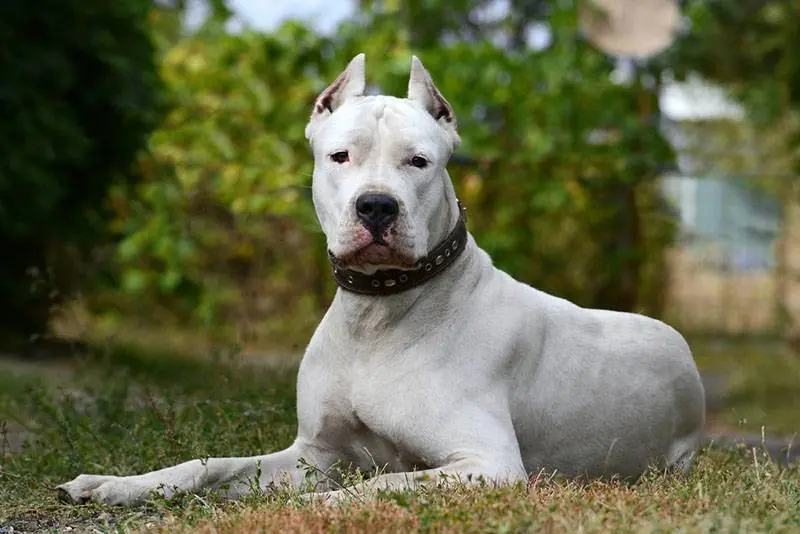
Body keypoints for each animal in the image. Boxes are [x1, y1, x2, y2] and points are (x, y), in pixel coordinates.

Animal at [57, 54, 708, 506]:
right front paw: (118, 483)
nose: (375, 206)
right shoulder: (313, 453)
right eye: (339, 156)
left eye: (419, 162)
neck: (378, 316)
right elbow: (211, 463)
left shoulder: (487, 463)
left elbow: (371, 487)